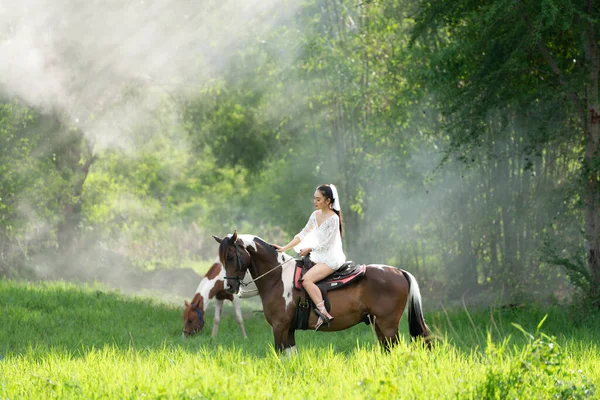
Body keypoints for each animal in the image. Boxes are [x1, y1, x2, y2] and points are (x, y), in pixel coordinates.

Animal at [213, 230, 428, 354]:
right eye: (221, 259)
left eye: (230, 257)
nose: (229, 287)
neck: (277, 277)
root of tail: (399, 271)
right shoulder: (288, 330)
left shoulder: (279, 327)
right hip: (379, 325)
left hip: (388, 325)